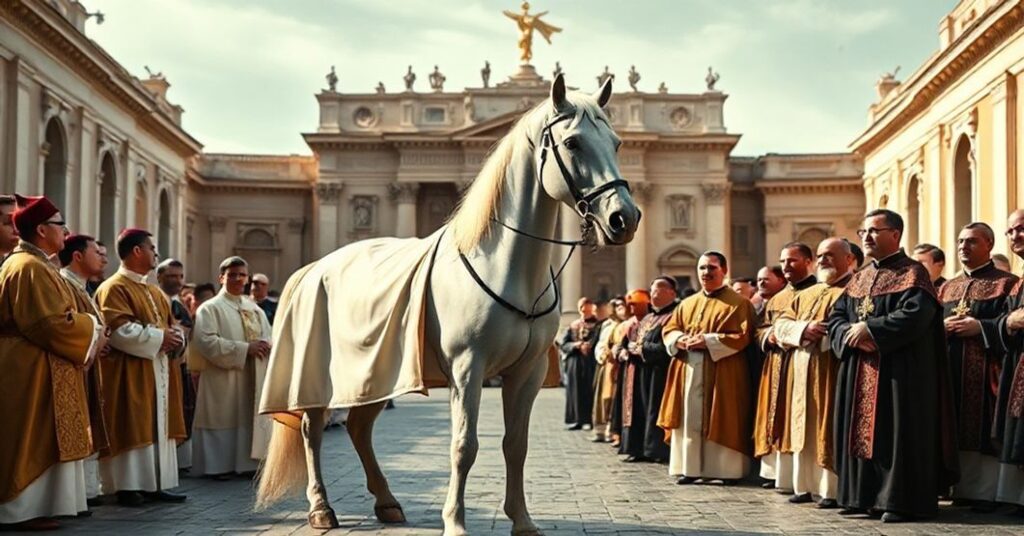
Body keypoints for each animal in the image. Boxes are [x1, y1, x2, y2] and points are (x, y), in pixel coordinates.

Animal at [253, 74, 640, 535]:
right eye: (574, 143)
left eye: (617, 143)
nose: (625, 218)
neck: (504, 264)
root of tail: (315, 266)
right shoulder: (467, 368)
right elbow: (464, 445)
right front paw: (454, 521)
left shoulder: (526, 371)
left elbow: (516, 444)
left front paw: (522, 519)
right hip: (316, 375)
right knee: (312, 429)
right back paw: (321, 508)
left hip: (375, 375)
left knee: (359, 429)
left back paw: (387, 502)